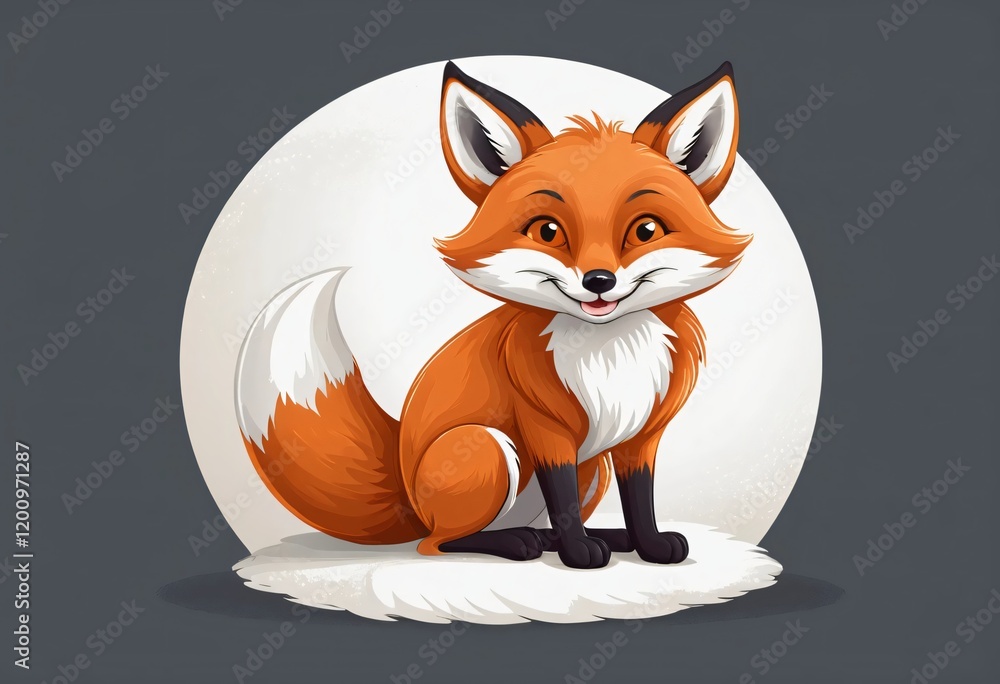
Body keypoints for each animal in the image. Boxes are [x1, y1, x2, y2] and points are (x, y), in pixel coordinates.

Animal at [234, 61, 751, 569]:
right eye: (548, 231)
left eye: (645, 230)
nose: (599, 280)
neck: (609, 352)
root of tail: (410, 501)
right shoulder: (545, 428)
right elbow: (562, 498)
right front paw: (579, 554)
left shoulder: (640, 437)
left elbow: (640, 500)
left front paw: (650, 545)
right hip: (485, 447)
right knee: (439, 544)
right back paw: (519, 543)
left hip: (593, 468)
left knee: (528, 527)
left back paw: (592, 537)